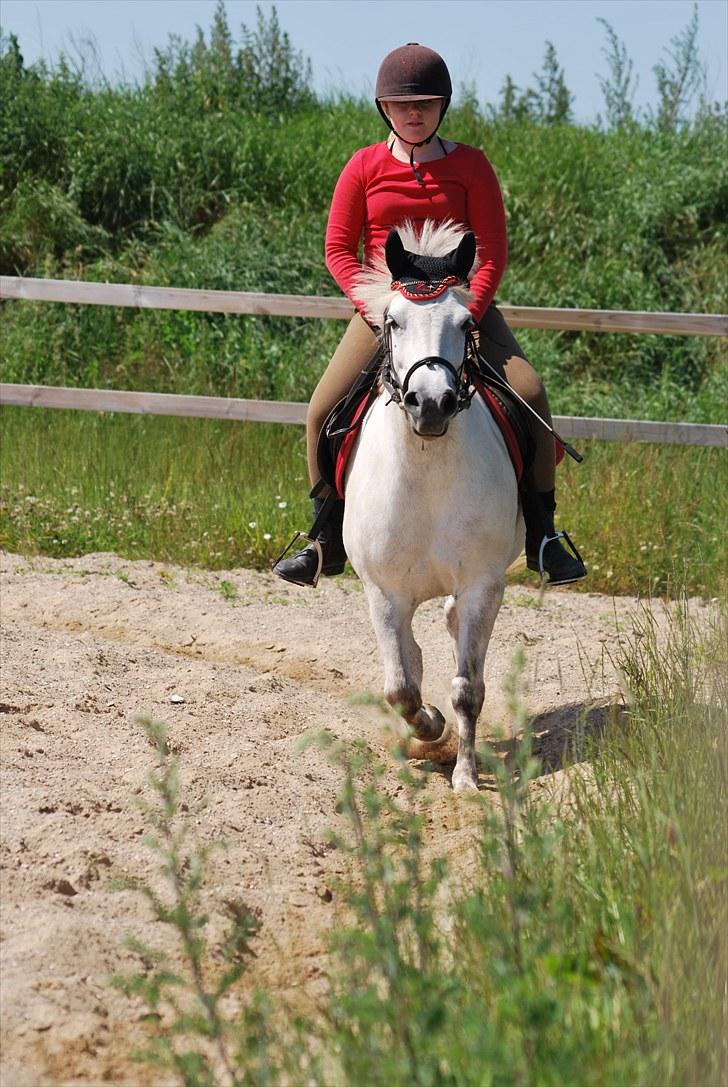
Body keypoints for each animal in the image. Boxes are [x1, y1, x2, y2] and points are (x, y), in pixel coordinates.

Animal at [342, 220, 523, 793]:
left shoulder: (481, 584)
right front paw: (429, 729)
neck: (426, 474)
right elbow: (401, 687)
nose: (432, 404)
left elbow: (467, 688)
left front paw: (464, 776)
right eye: (392, 321)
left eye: (465, 322)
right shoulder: (383, 593)